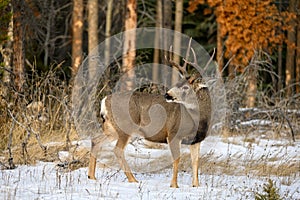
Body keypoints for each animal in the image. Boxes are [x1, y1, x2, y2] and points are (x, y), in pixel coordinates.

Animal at [88, 48, 212, 188]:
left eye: (186, 87)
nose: (167, 95)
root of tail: (104, 100)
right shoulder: (173, 133)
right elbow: (177, 159)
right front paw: (174, 185)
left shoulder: (196, 140)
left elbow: (195, 161)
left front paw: (196, 185)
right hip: (125, 126)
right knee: (117, 150)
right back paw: (133, 180)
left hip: (111, 128)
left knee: (96, 140)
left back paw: (92, 176)